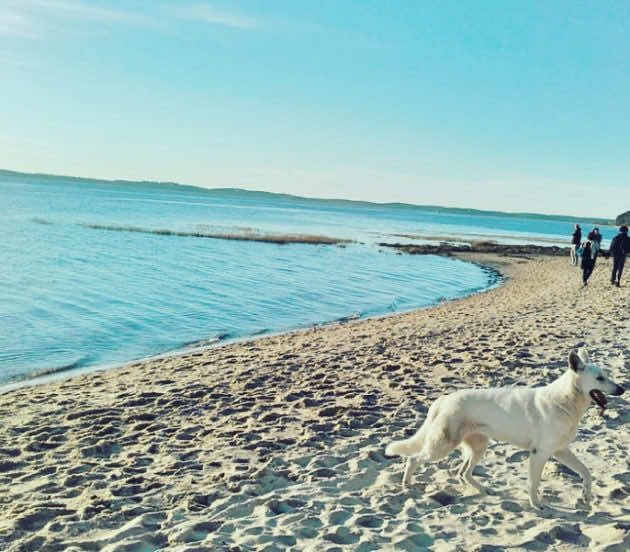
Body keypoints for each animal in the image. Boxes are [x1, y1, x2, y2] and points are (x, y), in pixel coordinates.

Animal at [388, 350, 624, 508]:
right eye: (600, 378)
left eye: (607, 375)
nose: (622, 389)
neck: (566, 400)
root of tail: (442, 400)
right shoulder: (540, 454)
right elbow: (533, 483)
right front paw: (536, 504)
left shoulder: (560, 451)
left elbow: (586, 472)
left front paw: (586, 495)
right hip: (442, 446)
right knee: (414, 459)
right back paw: (407, 483)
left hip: (478, 446)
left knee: (463, 473)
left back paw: (484, 489)